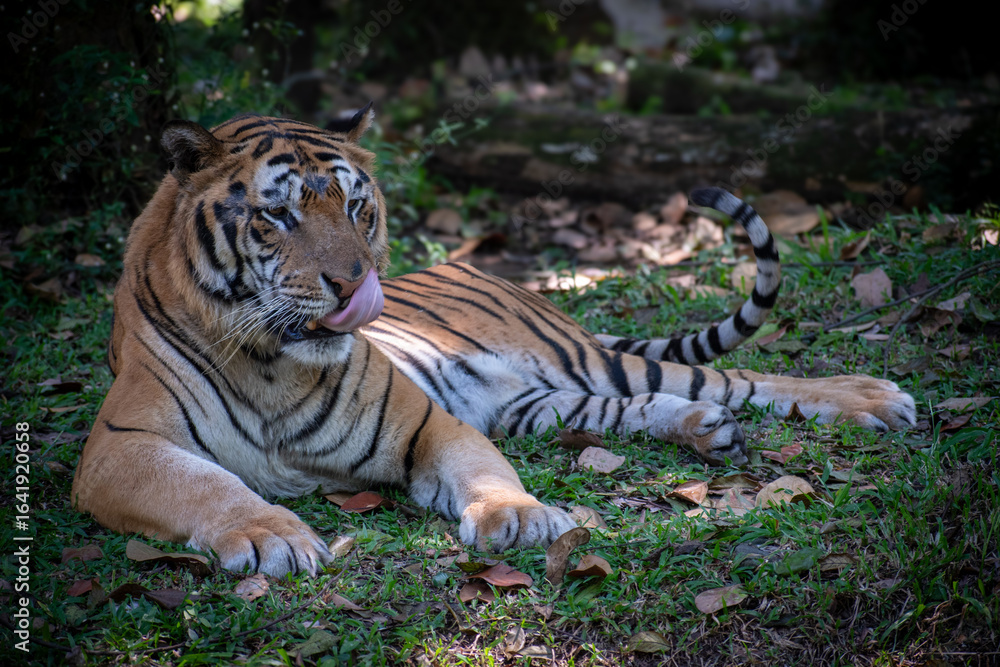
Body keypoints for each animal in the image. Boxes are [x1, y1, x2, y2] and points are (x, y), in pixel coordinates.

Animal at [72, 109, 916, 577]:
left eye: (357, 206)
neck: (274, 364)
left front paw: (518, 517)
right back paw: (705, 431)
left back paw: (872, 397)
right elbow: (205, 485)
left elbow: (480, 466)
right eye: (277, 215)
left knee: (742, 379)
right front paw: (270, 533)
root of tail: (497, 274)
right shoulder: (119, 446)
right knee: (644, 403)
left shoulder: (424, 421)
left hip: (579, 360)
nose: (353, 284)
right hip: (541, 400)